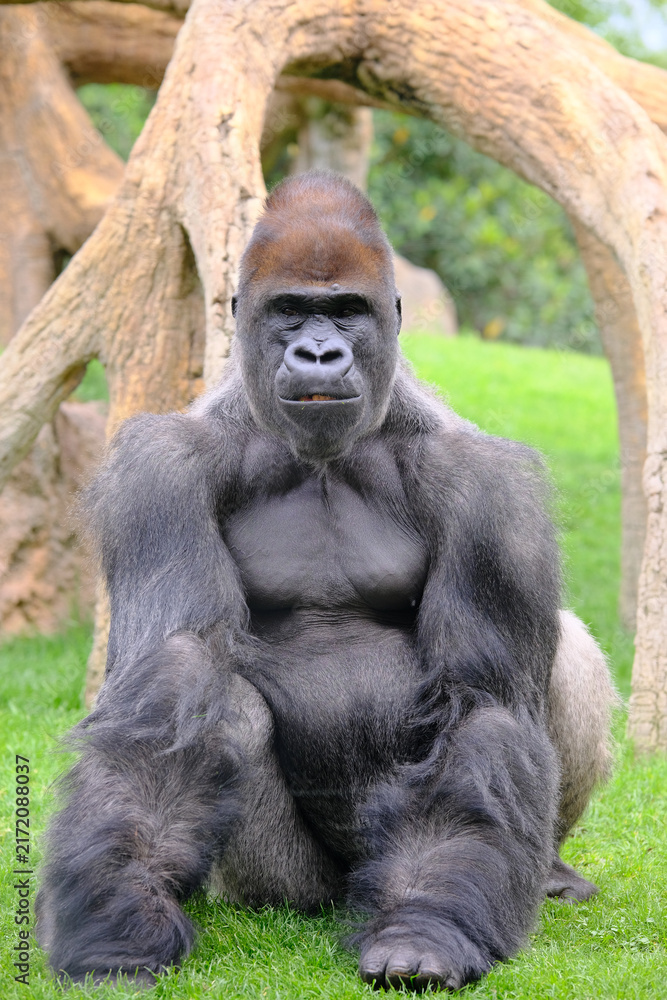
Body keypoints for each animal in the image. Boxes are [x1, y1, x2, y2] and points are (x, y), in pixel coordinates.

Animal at [36, 171, 616, 991]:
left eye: (346, 310)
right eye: (290, 312)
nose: (317, 352)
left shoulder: (490, 487)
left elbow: (480, 700)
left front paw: (424, 927)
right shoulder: (160, 468)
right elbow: (179, 679)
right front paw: (119, 923)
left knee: (566, 649)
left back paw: (547, 875)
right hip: (291, 886)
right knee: (231, 713)